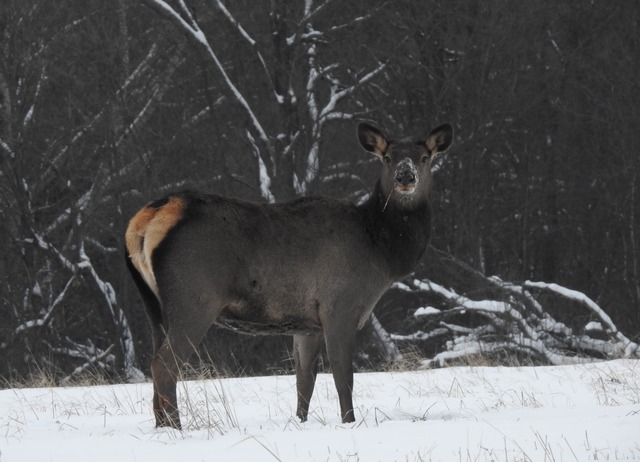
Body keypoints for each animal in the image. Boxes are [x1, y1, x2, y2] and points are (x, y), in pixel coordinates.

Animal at [125, 121, 452, 428]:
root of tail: (147, 219)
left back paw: (162, 426)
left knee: (155, 360)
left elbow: (304, 380)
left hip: (153, 305)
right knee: (165, 365)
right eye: (387, 158)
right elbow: (343, 376)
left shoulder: (306, 324)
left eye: (424, 157)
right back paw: (177, 428)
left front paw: (300, 421)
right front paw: (349, 421)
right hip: (195, 297)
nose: (405, 177)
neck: (380, 249)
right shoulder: (339, 306)